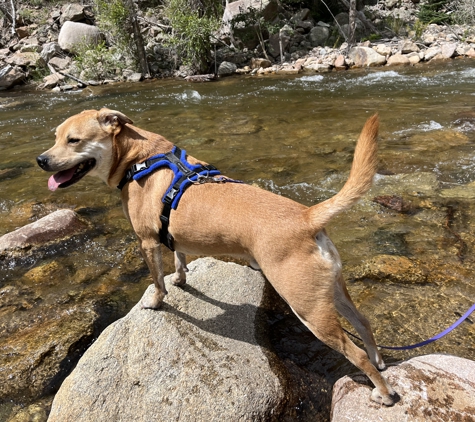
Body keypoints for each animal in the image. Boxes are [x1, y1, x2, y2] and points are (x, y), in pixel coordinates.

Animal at [38, 109, 398, 406]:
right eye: (55, 136)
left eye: (74, 140)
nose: (42, 159)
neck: (137, 157)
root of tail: (307, 216)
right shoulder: (172, 235)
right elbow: (179, 256)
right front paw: (181, 278)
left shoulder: (147, 242)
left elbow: (157, 280)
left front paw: (155, 301)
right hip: (331, 290)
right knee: (363, 322)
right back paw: (380, 361)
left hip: (307, 307)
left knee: (354, 352)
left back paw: (383, 392)